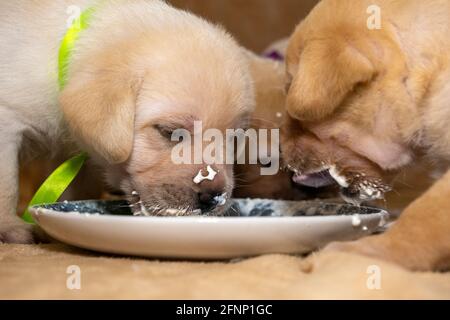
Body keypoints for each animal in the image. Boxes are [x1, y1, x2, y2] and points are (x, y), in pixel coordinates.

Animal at [0, 0, 253, 244]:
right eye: (170, 132)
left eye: (233, 138)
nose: (214, 197)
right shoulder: (7, 122)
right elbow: (7, 184)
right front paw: (10, 227)